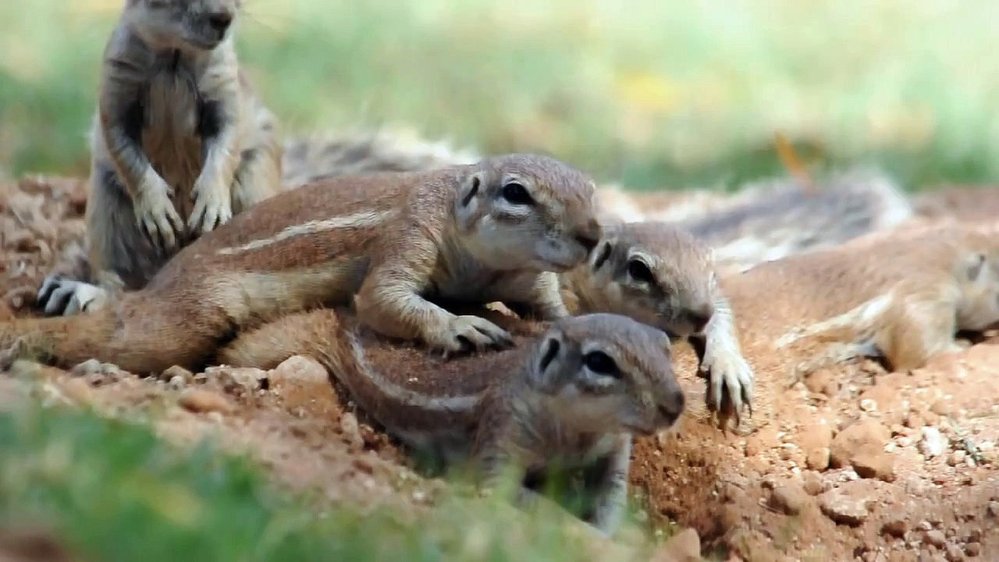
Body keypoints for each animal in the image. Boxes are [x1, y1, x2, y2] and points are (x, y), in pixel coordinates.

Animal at [0, 154, 600, 372]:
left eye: (592, 189)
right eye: (516, 193)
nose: (594, 236)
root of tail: (165, 277)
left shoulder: (528, 279)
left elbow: (554, 311)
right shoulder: (410, 232)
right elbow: (381, 298)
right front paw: (460, 326)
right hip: (189, 313)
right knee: (125, 336)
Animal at [37, 0, 284, 316]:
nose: (224, 18)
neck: (173, 55)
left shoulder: (225, 87)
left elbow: (227, 140)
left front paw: (211, 203)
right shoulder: (117, 83)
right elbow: (122, 146)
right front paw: (156, 208)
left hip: (256, 186)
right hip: (106, 217)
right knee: (120, 284)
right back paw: (80, 294)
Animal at [219, 310, 688, 532]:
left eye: (664, 346)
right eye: (599, 362)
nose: (676, 404)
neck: (578, 432)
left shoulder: (615, 449)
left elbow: (611, 497)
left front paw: (607, 532)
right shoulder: (503, 429)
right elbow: (508, 491)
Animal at [560, 221, 752, 422]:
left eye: (712, 272)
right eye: (638, 270)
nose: (702, 315)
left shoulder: (715, 299)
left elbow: (722, 314)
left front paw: (728, 366)